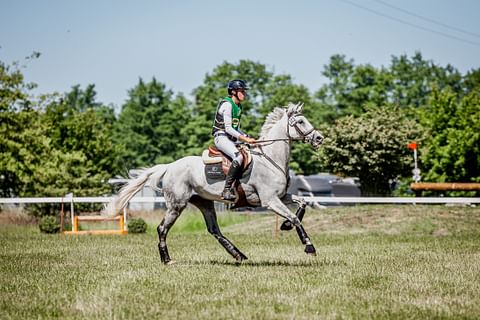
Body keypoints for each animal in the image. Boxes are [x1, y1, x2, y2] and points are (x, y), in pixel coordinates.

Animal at [104, 103, 322, 264]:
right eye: (300, 121)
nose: (319, 138)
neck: (270, 159)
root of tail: (170, 166)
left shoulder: (281, 196)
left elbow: (302, 203)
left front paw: (285, 225)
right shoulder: (269, 200)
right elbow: (295, 218)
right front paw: (309, 246)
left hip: (205, 202)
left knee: (214, 230)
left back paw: (238, 255)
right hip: (177, 204)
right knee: (162, 228)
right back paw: (167, 260)